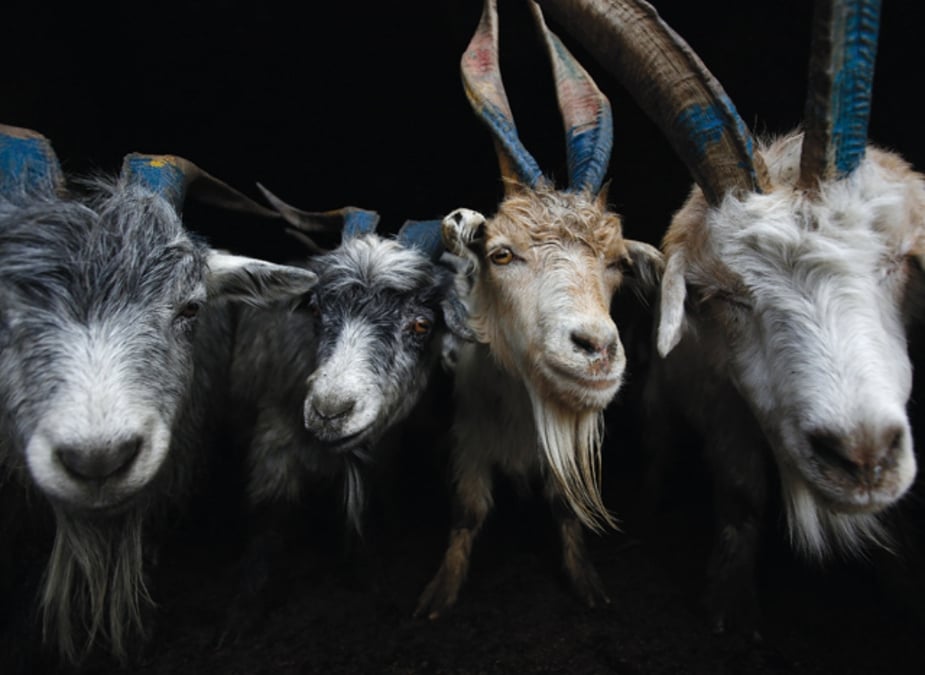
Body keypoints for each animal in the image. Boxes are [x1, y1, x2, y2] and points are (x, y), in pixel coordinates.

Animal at [414, 0, 663, 620]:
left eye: (617, 262)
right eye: (501, 253)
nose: (596, 349)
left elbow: (564, 506)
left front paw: (588, 583)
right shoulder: (467, 438)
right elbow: (468, 510)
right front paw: (441, 593)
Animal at [542, 0, 925, 635]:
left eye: (897, 262)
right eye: (721, 296)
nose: (861, 455)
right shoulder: (718, 395)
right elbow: (742, 488)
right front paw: (729, 604)